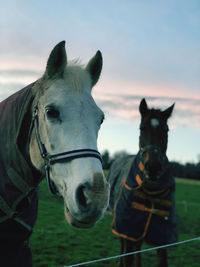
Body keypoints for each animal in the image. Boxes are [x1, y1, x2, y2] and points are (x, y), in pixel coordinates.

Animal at [108, 99, 177, 266]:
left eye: (166, 130)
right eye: (142, 127)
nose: (153, 167)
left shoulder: (161, 237)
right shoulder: (126, 226)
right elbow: (128, 255)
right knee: (124, 246)